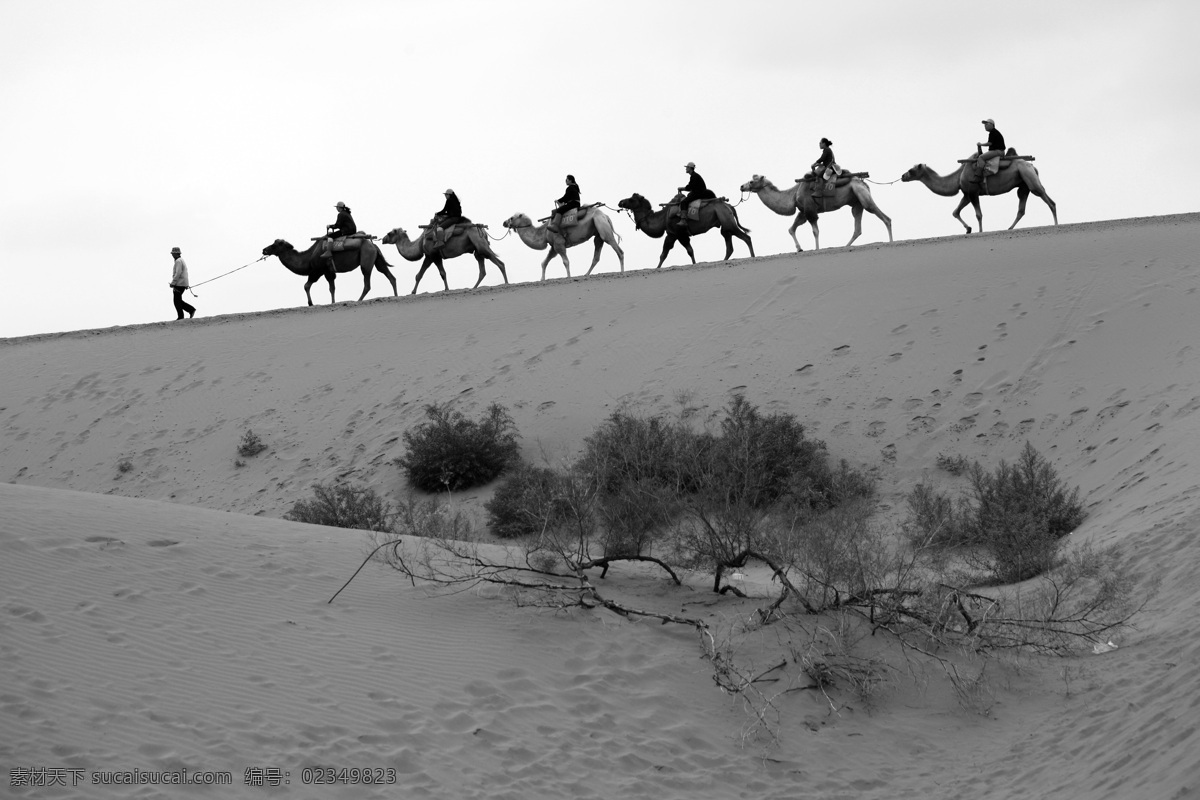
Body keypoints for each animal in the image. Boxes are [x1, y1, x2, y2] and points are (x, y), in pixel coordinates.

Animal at [260, 237, 396, 307]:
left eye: (275, 244)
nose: (264, 250)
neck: (308, 257)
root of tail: (373, 245)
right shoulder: (328, 272)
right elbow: (332, 288)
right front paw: (333, 303)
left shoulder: (317, 271)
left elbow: (306, 285)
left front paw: (311, 303)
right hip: (376, 259)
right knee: (390, 275)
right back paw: (396, 296)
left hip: (366, 261)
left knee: (367, 284)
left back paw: (358, 301)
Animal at [376, 224, 504, 296]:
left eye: (389, 233)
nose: (382, 239)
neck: (420, 243)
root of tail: (483, 230)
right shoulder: (428, 256)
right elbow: (419, 275)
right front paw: (412, 292)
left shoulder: (434, 255)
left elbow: (442, 273)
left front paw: (446, 289)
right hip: (477, 249)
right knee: (482, 269)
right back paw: (473, 288)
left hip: (480, 243)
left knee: (499, 262)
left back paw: (506, 283)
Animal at [614, 194, 753, 268]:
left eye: (631, 199)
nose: (620, 202)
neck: (663, 218)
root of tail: (729, 206)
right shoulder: (679, 235)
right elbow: (688, 251)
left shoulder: (674, 234)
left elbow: (665, 253)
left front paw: (657, 268)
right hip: (724, 224)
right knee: (729, 245)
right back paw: (723, 260)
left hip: (728, 221)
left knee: (746, 237)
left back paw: (752, 257)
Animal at [902, 158, 1060, 235]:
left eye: (911, 170)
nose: (902, 176)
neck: (957, 177)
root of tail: (1033, 167)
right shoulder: (966, 194)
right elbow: (955, 212)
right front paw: (968, 229)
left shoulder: (973, 192)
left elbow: (978, 214)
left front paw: (980, 231)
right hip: (1023, 185)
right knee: (1021, 208)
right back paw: (1009, 228)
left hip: (1030, 179)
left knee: (1049, 200)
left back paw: (1056, 224)